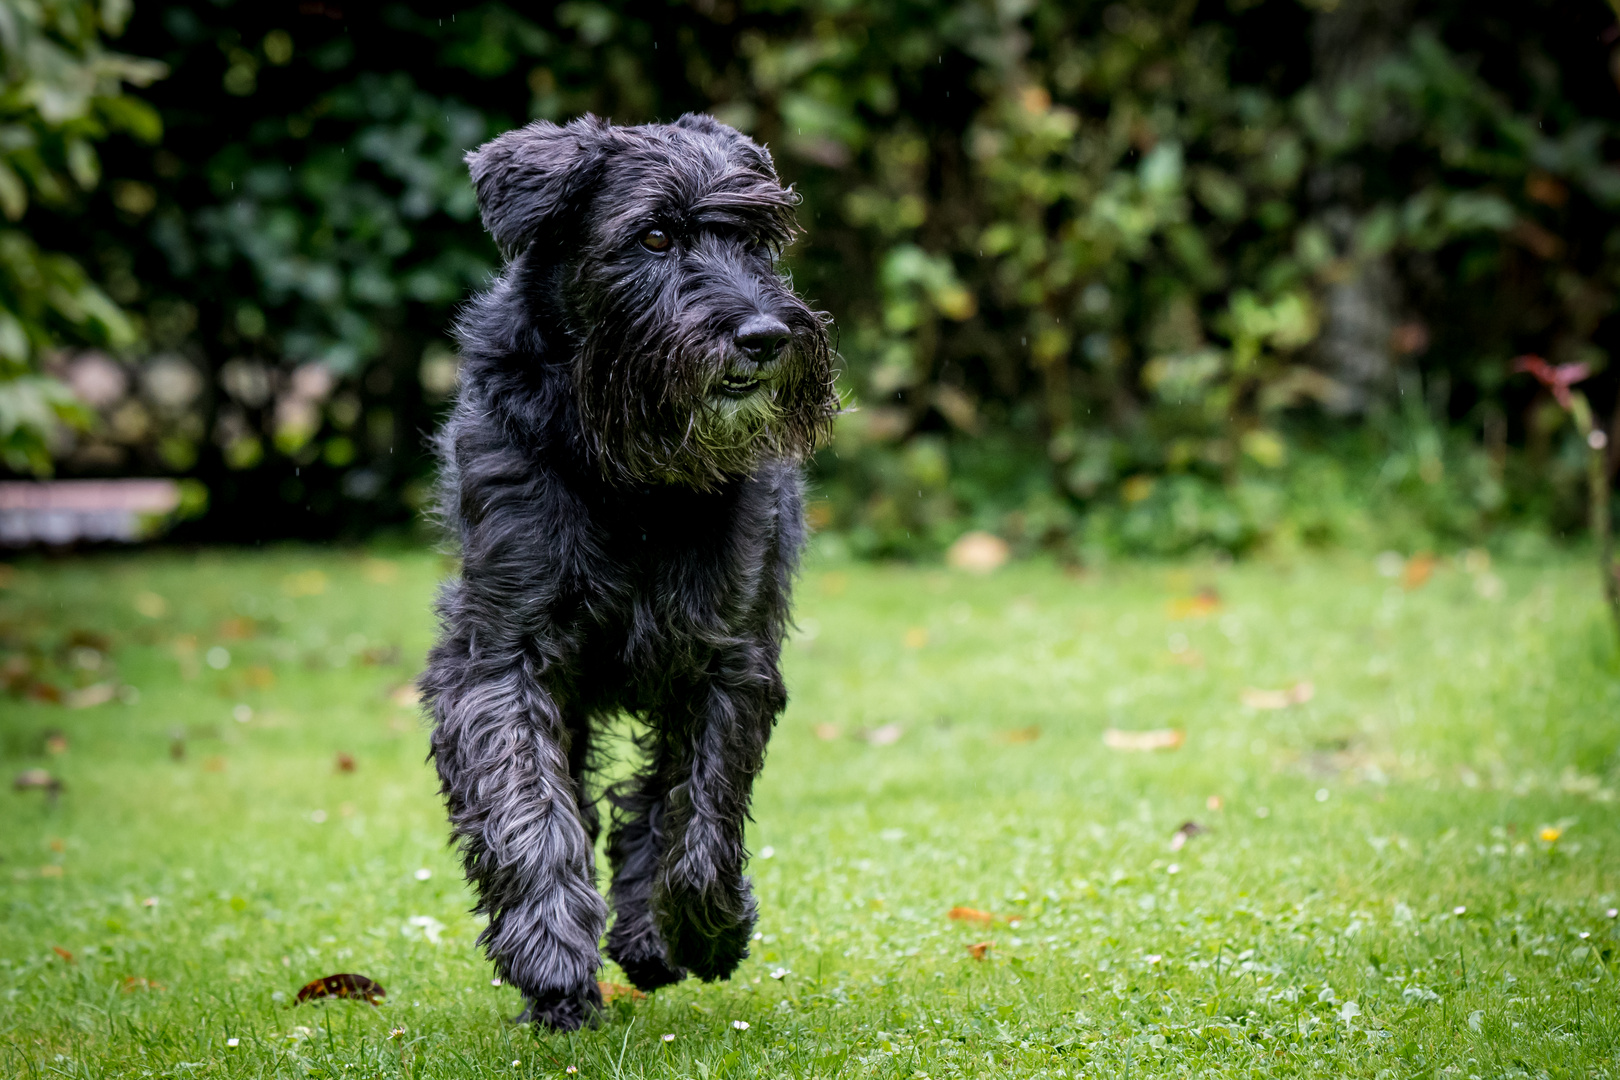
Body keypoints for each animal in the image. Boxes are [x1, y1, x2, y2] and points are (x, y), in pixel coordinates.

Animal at [417, 114, 842, 1036]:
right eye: (653, 237)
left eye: (758, 239)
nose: (765, 337)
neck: (634, 475)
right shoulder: (500, 655)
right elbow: (527, 804)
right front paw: (550, 955)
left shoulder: (726, 655)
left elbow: (702, 813)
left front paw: (706, 927)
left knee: (656, 802)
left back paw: (651, 935)